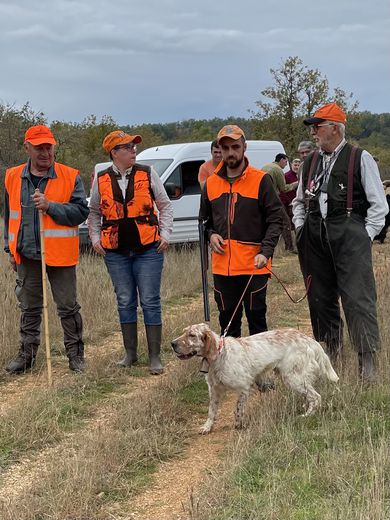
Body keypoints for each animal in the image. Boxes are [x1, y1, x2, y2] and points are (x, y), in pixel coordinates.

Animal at [171, 322, 338, 432]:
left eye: (192, 335)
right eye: (183, 332)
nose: (172, 343)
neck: (220, 355)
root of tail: (309, 340)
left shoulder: (244, 388)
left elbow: (238, 409)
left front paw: (239, 425)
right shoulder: (214, 390)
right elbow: (212, 411)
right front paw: (207, 427)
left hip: (293, 378)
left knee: (316, 397)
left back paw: (307, 415)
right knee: (310, 396)